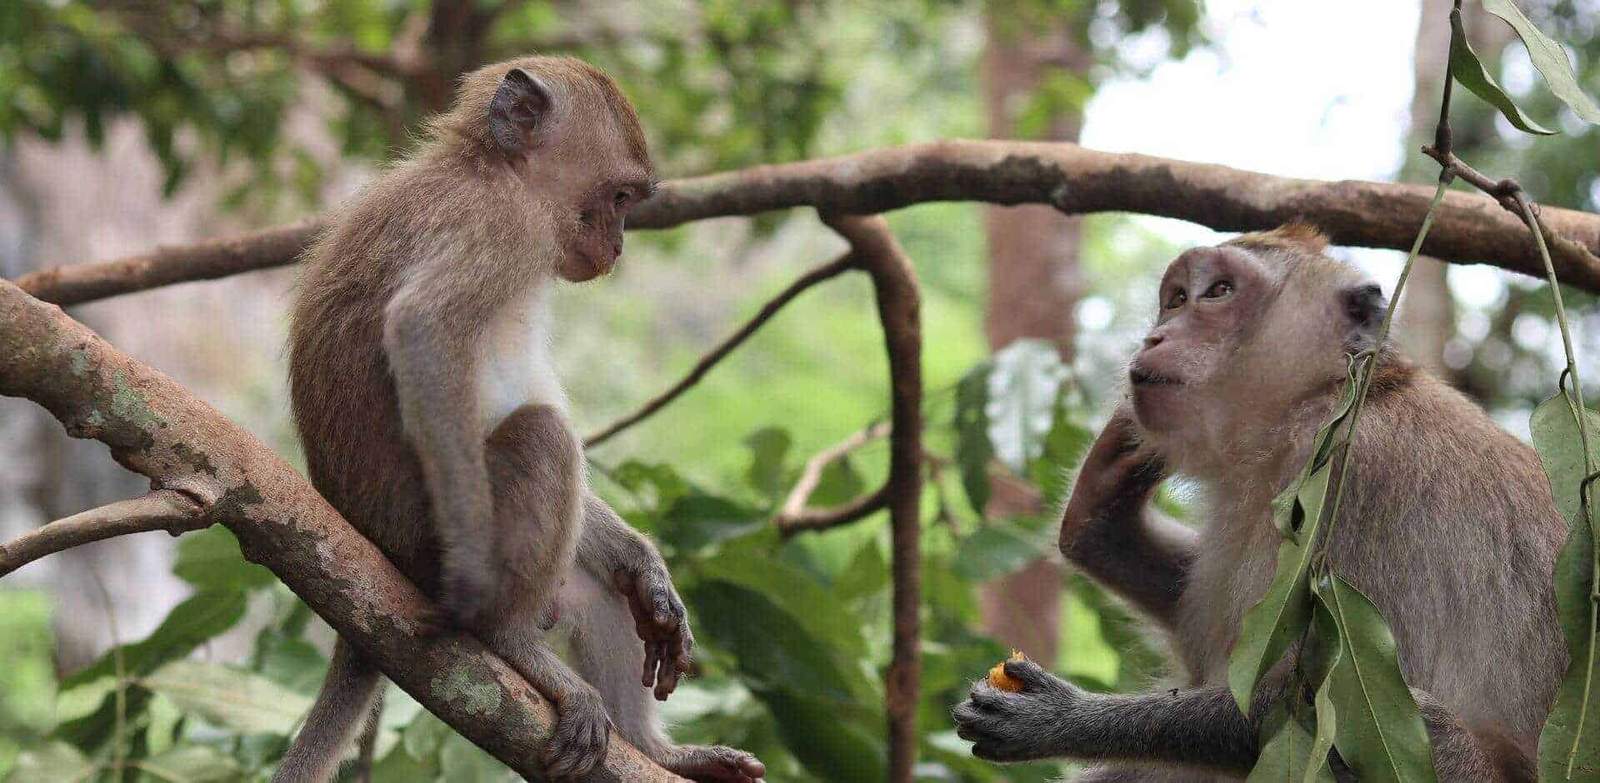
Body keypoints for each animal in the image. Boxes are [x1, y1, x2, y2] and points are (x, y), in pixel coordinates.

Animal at [276, 56, 764, 783]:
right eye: (621, 196)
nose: (617, 245)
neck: (491, 168)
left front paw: (648, 569)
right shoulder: (503, 225)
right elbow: (423, 330)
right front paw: (477, 589)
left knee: (599, 586)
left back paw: (656, 748)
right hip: (420, 538)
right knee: (543, 438)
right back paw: (506, 639)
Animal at [953, 224, 1564, 782]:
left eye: (1219, 291)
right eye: (1176, 298)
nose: (1155, 338)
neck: (1323, 398)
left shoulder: (1350, 473)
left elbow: (1307, 699)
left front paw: (1059, 718)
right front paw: (1103, 490)